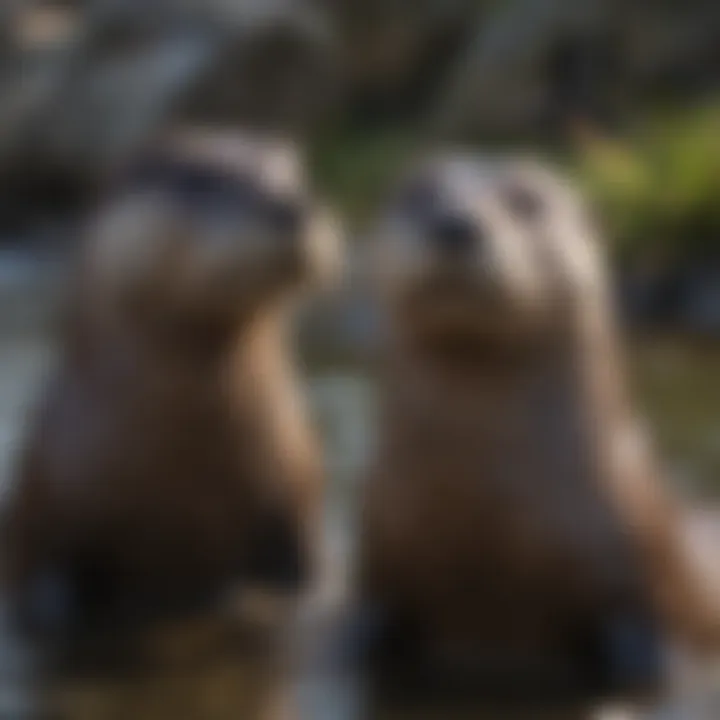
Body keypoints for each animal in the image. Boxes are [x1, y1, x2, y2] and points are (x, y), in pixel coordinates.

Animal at [0, 128, 344, 640]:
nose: (291, 205)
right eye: (200, 179)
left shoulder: (296, 502)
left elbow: (305, 580)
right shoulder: (47, 513)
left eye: (295, 174)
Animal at [356, 153, 720, 708]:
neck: (487, 518)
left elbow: (642, 656)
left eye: (527, 199)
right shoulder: (382, 566)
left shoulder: (635, 587)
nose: (455, 223)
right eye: (416, 191)